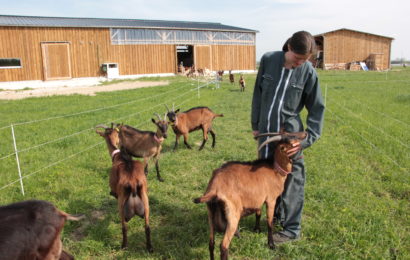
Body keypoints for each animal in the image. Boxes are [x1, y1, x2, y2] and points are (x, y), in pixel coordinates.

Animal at [194, 132, 306, 260]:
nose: (305, 135)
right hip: (232, 214)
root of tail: (214, 188)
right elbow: (269, 222)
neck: (275, 170)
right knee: (223, 246)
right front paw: (271, 245)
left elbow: (258, 213)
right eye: (293, 144)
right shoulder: (271, 199)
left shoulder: (258, 198)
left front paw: (257, 230)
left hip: (211, 214)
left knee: (211, 243)